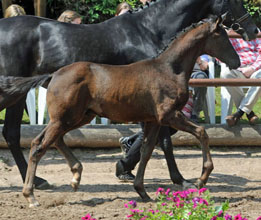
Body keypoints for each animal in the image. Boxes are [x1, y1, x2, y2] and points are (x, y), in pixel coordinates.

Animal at [0, 0, 256, 189]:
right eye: (235, 0)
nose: (254, 30)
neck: (147, 31)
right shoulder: (152, 104)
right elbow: (164, 141)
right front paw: (178, 178)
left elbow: (152, 138)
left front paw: (124, 166)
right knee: (12, 133)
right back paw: (35, 180)